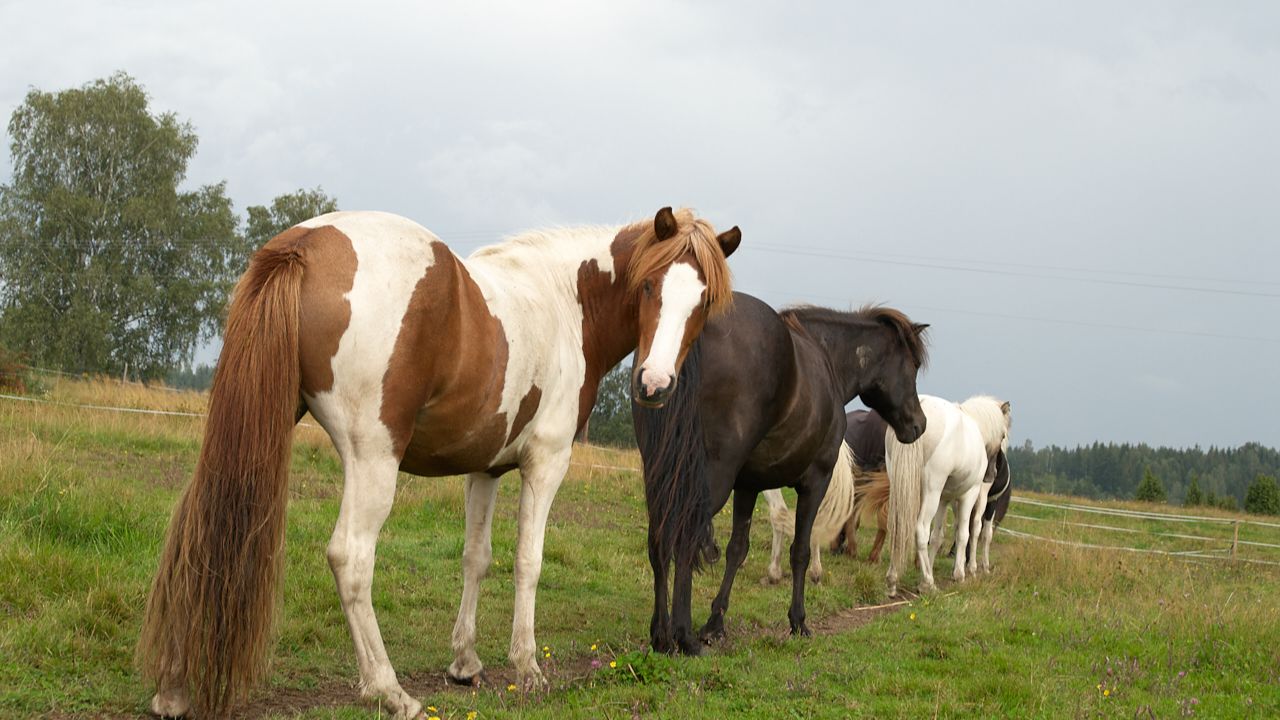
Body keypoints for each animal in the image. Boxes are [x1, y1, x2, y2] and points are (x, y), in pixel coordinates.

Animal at [137, 207, 741, 719]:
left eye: (703, 303)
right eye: (648, 286)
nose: (654, 385)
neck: (565, 302)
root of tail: (304, 244)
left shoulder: (485, 469)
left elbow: (477, 558)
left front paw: (465, 664)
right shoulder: (546, 463)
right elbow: (528, 561)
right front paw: (528, 667)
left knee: (197, 529)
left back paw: (172, 689)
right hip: (373, 460)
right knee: (350, 558)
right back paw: (389, 690)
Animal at [634, 297, 929, 655]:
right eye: (913, 366)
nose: (919, 425)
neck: (825, 359)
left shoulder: (747, 485)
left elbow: (737, 549)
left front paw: (715, 624)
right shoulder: (815, 482)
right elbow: (800, 550)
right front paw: (798, 621)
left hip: (662, 476)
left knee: (659, 539)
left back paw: (660, 635)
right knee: (684, 539)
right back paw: (682, 636)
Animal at [884, 395, 1011, 596]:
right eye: (1003, 435)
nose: (991, 475)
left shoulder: (944, 499)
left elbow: (937, 537)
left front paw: (928, 570)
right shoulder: (969, 495)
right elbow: (965, 533)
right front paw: (961, 574)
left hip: (900, 486)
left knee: (898, 528)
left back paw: (893, 581)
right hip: (931, 492)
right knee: (920, 530)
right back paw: (929, 584)